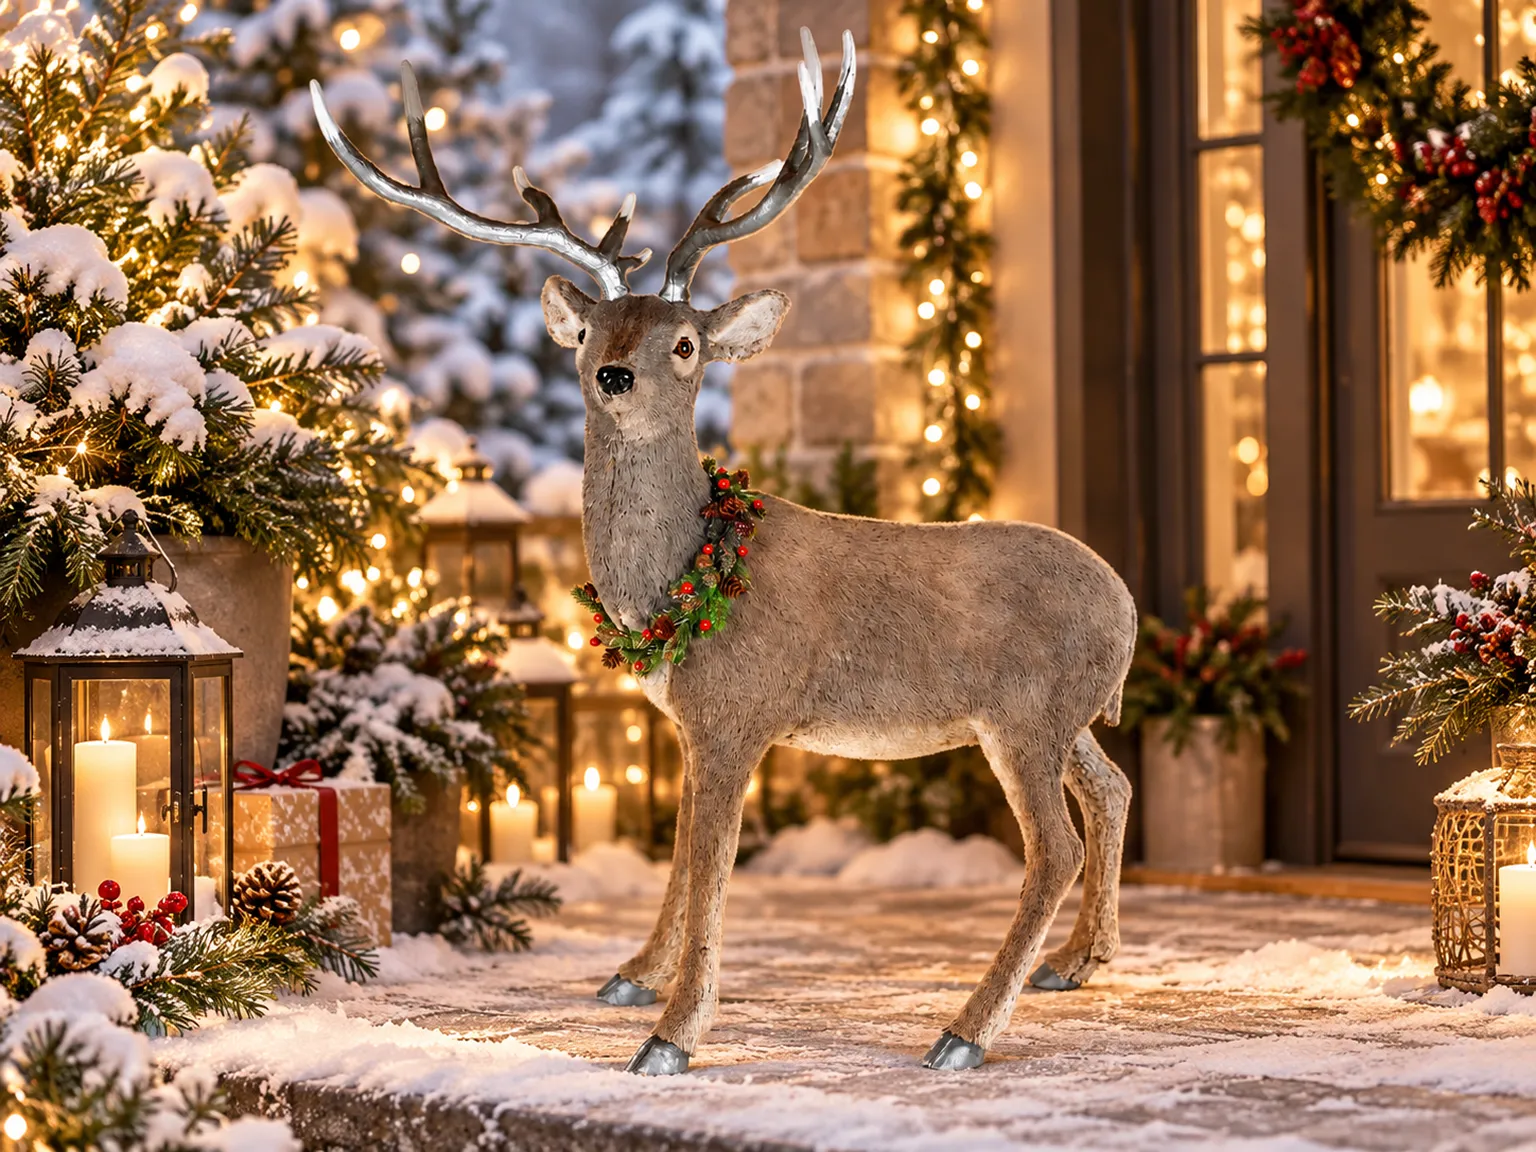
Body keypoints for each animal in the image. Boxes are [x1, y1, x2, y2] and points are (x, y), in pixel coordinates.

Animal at [312, 28, 1136, 1076]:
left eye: (688, 343)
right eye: (591, 329)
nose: (613, 373)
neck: (683, 578)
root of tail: (1127, 604)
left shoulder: (742, 710)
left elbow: (710, 863)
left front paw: (670, 1035)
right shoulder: (690, 725)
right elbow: (674, 845)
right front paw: (632, 977)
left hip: (1025, 712)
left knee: (1053, 846)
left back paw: (963, 1030)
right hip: (1067, 716)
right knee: (1112, 787)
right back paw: (1079, 964)